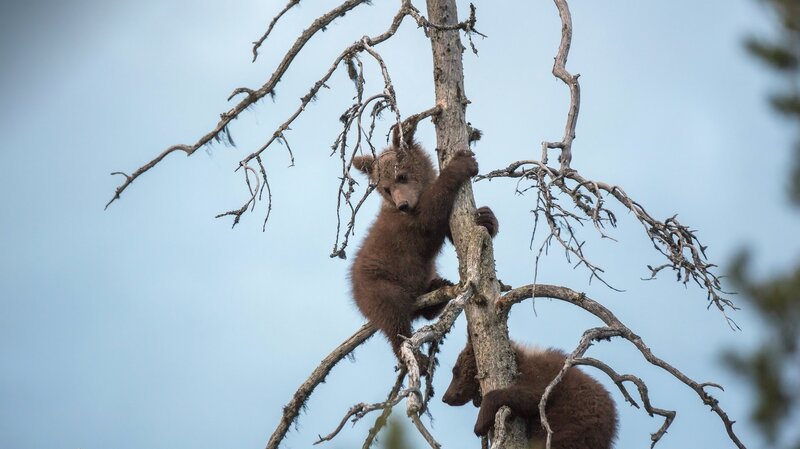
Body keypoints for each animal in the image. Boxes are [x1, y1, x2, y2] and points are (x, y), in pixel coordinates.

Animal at [349, 128, 498, 371]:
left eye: (401, 176)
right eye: (386, 189)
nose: (403, 205)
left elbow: (453, 232)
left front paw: (486, 218)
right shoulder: (407, 225)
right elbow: (429, 214)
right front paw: (461, 164)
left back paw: (438, 288)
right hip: (376, 285)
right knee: (393, 315)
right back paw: (413, 354)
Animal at [442, 339, 618, 449]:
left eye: (455, 371)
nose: (445, 397)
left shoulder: (544, 377)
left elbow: (530, 397)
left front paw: (480, 423)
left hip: (571, 430)